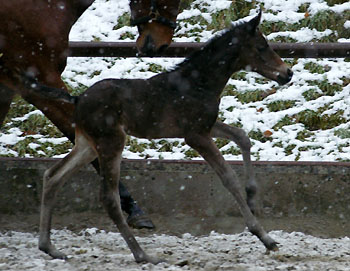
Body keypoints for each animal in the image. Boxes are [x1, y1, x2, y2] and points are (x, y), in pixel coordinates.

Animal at [21, 11, 292, 264]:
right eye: (261, 47)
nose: (287, 73)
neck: (199, 83)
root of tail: (76, 99)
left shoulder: (204, 127)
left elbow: (242, 137)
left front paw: (253, 197)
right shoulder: (196, 136)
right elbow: (228, 178)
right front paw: (264, 236)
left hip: (88, 145)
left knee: (53, 176)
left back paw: (49, 247)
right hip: (111, 142)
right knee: (108, 198)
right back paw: (143, 255)